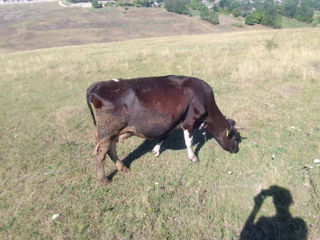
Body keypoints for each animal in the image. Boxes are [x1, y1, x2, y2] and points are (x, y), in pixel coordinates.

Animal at [86, 75, 241, 184]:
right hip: (108, 131)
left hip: (112, 132)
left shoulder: (171, 123)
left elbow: (163, 137)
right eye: (234, 137)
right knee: (100, 154)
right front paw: (193, 157)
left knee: (111, 150)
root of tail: (99, 84)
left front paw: (155, 151)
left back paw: (122, 168)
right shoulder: (189, 122)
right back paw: (104, 179)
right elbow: (189, 142)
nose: (236, 150)